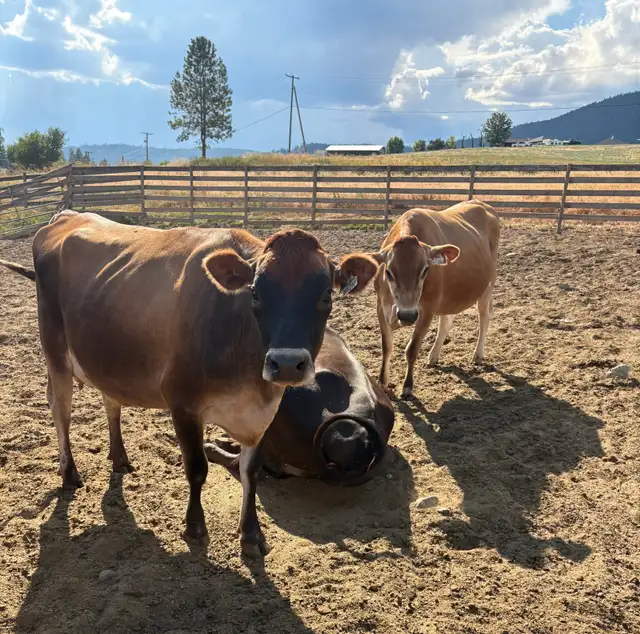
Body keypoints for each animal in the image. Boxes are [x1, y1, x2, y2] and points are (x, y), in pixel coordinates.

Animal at [345, 201, 500, 399]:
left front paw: (407, 387)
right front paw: (382, 383)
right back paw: (433, 356)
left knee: (484, 317)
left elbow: (412, 349)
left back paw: (478, 355)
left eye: (425, 270)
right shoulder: (381, 306)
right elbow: (387, 346)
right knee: (446, 321)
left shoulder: (427, 310)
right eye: (389, 271)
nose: (407, 315)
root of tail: (481, 204)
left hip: (488, 285)